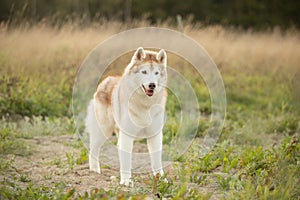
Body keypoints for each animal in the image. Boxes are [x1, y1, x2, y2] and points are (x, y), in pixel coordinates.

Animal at [85, 47, 168, 186]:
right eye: (144, 72)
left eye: (156, 73)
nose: (152, 85)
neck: (145, 105)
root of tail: (106, 80)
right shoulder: (127, 135)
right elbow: (125, 160)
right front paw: (126, 182)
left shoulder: (155, 134)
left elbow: (157, 161)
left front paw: (161, 179)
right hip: (103, 132)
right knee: (93, 149)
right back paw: (94, 171)